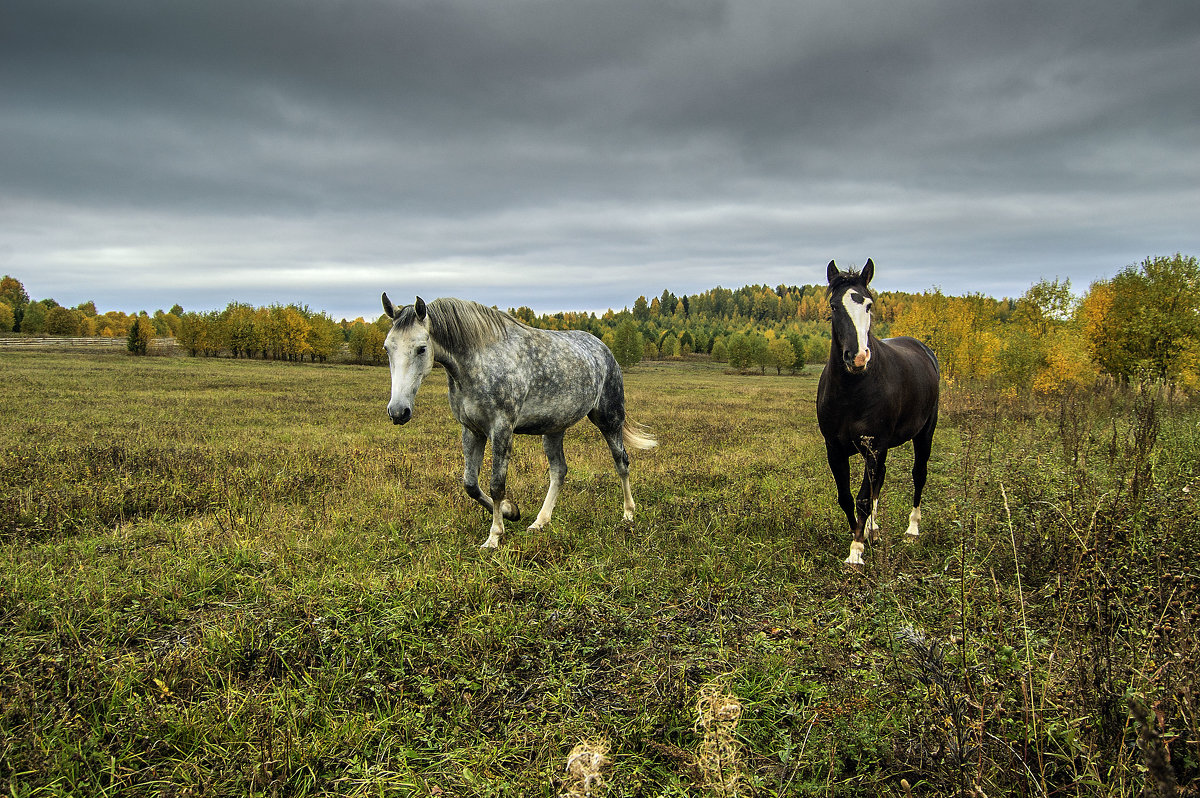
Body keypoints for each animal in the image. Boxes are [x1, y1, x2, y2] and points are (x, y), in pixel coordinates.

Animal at [381, 292, 657, 547]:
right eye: (387, 348)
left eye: (421, 348)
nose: (398, 411)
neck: (480, 360)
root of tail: (603, 349)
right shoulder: (471, 430)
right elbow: (470, 484)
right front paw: (510, 511)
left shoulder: (501, 429)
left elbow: (496, 484)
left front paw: (494, 536)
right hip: (554, 429)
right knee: (559, 471)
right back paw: (540, 522)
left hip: (609, 420)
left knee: (621, 462)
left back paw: (628, 514)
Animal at [816, 258, 936, 564]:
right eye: (834, 306)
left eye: (868, 305)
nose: (858, 357)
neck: (853, 388)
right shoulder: (834, 448)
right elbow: (847, 496)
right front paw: (863, 534)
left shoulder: (875, 446)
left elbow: (863, 498)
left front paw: (856, 551)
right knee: (879, 479)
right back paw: (874, 528)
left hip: (924, 434)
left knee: (918, 474)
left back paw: (912, 529)